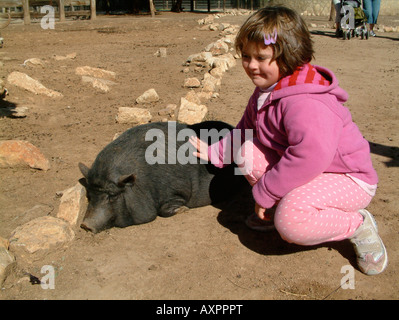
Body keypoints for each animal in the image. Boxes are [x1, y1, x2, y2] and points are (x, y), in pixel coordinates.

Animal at [77, 120, 247, 232]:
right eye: (89, 195)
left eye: (112, 196)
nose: (85, 225)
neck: (143, 183)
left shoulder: (179, 189)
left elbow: (165, 209)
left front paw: (183, 209)